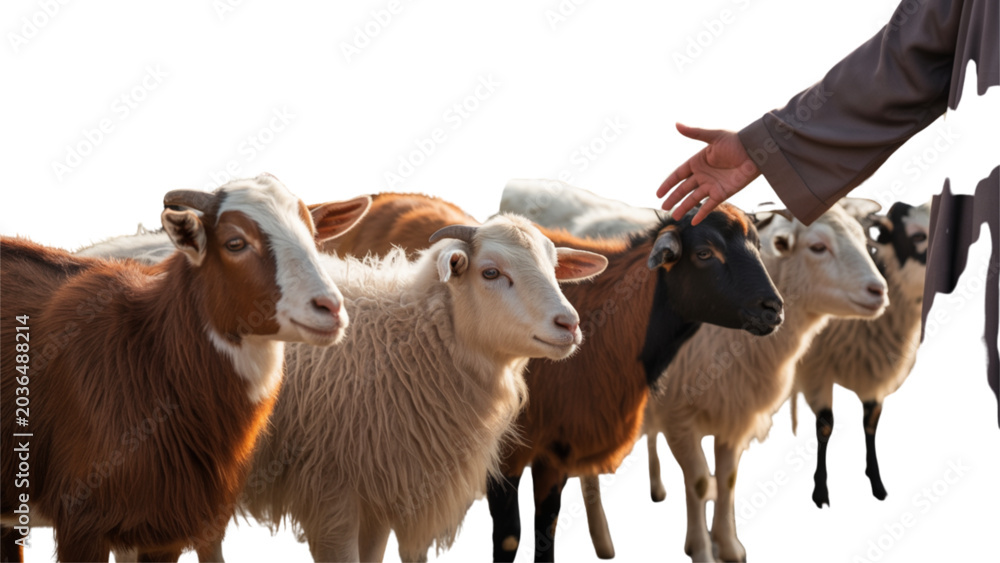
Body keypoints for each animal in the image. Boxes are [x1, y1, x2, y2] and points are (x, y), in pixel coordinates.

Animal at [0, 175, 370, 562]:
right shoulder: (81, 522)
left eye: (312, 236)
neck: (149, 357)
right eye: (235, 242)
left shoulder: (166, 531)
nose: (329, 307)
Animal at [643, 204, 889, 562]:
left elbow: (727, 479)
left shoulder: (735, 408)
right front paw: (700, 549)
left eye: (863, 239)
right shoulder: (678, 415)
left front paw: (728, 546)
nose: (879, 291)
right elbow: (700, 483)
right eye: (818, 247)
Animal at [793, 200, 931, 508]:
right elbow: (825, 427)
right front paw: (820, 491)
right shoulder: (815, 371)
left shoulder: (874, 377)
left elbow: (870, 425)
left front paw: (877, 483)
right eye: (917, 236)